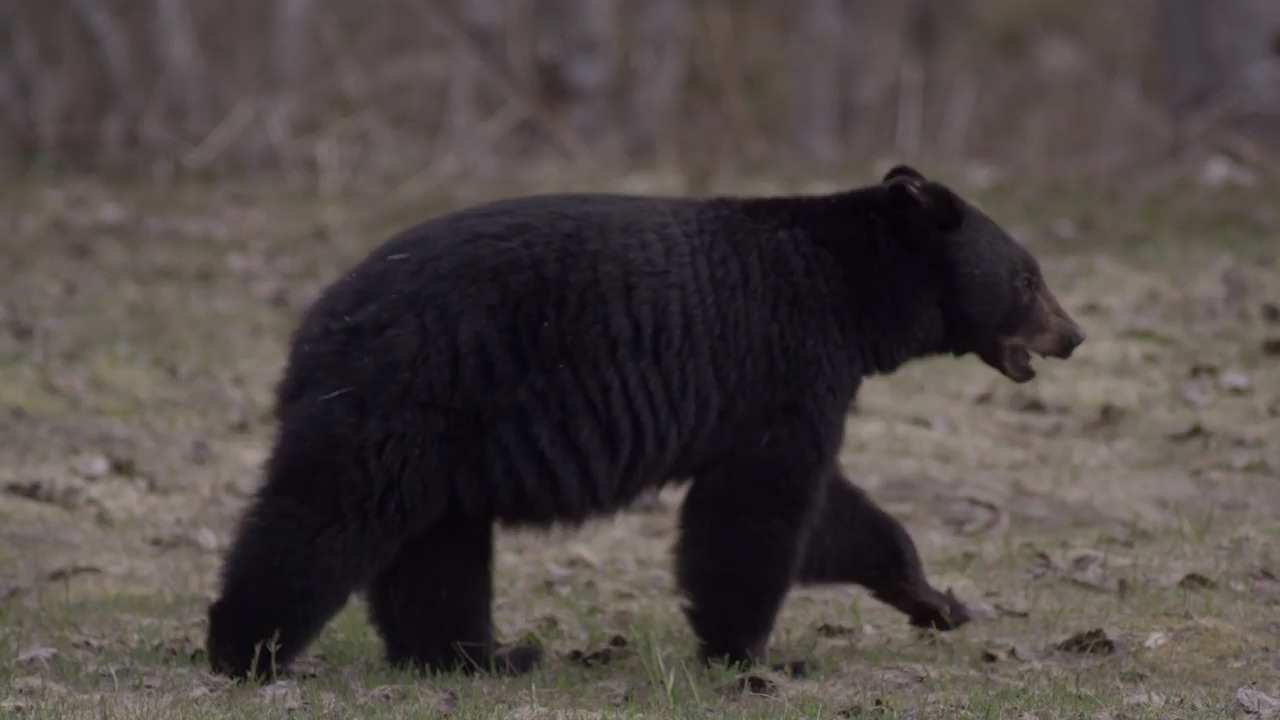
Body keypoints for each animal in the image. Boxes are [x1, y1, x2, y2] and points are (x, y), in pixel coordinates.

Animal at [204, 164, 1085, 680]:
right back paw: (246, 649)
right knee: (324, 519)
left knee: (436, 551)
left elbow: (831, 512)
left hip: (441, 443)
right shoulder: (780, 361)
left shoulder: (787, 390)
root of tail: (314, 326)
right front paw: (749, 657)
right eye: (1029, 277)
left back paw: (483, 657)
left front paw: (936, 600)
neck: (851, 291)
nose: (1074, 334)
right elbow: (755, 512)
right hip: (405, 395)